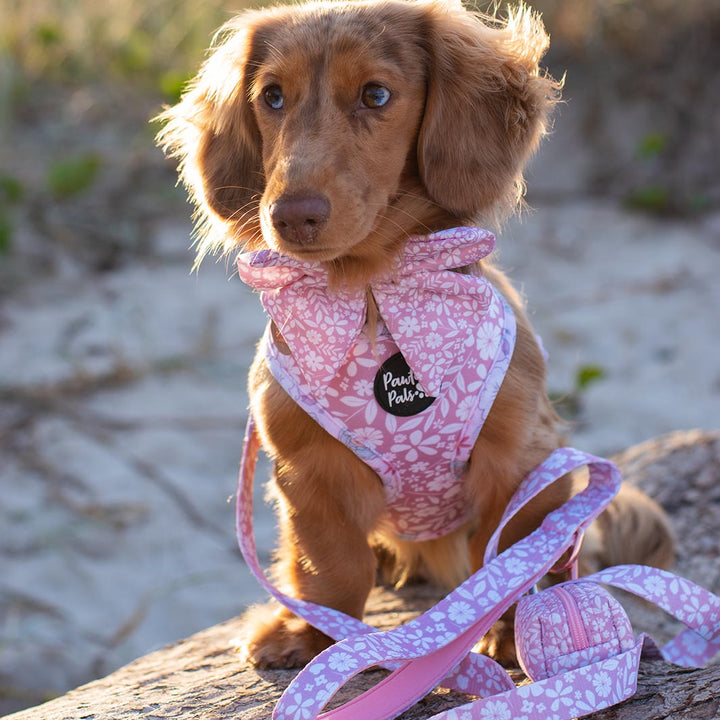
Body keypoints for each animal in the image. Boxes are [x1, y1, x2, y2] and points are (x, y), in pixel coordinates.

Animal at [158, 0, 676, 668]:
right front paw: (309, 633)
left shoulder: (518, 458)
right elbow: (330, 565)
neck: (375, 296)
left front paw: (510, 632)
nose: (290, 216)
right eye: (272, 97)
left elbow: (507, 560)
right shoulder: (310, 470)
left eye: (376, 94)